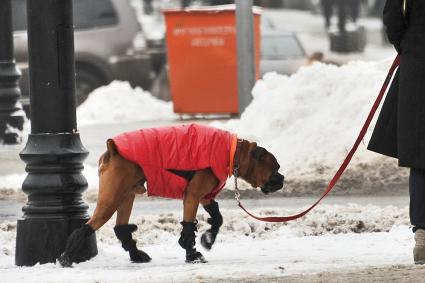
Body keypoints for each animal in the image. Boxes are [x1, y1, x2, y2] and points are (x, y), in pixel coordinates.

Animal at [56, 123, 282, 266]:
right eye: (275, 168)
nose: (282, 179)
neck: (232, 152)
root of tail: (113, 149)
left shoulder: (205, 197)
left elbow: (217, 218)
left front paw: (209, 238)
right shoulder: (192, 197)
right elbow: (189, 228)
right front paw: (192, 254)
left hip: (126, 196)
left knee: (121, 228)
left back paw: (136, 255)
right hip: (111, 200)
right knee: (87, 228)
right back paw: (67, 257)